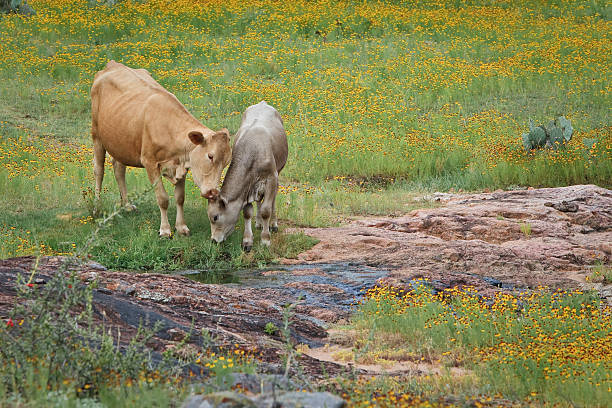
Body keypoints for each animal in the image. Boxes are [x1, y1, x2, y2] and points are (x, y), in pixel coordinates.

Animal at [91, 62, 232, 237]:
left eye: (226, 163)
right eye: (210, 156)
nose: (213, 192)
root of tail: (113, 64)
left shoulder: (182, 164)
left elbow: (180, 198)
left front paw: (181, 227)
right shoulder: (150, 162)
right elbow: (163, 198)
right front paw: (165, 229)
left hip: (120, 141)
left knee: (119, 169)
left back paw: (127, 205)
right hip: (96, 135)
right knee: (99, 170)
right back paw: (96, 209)